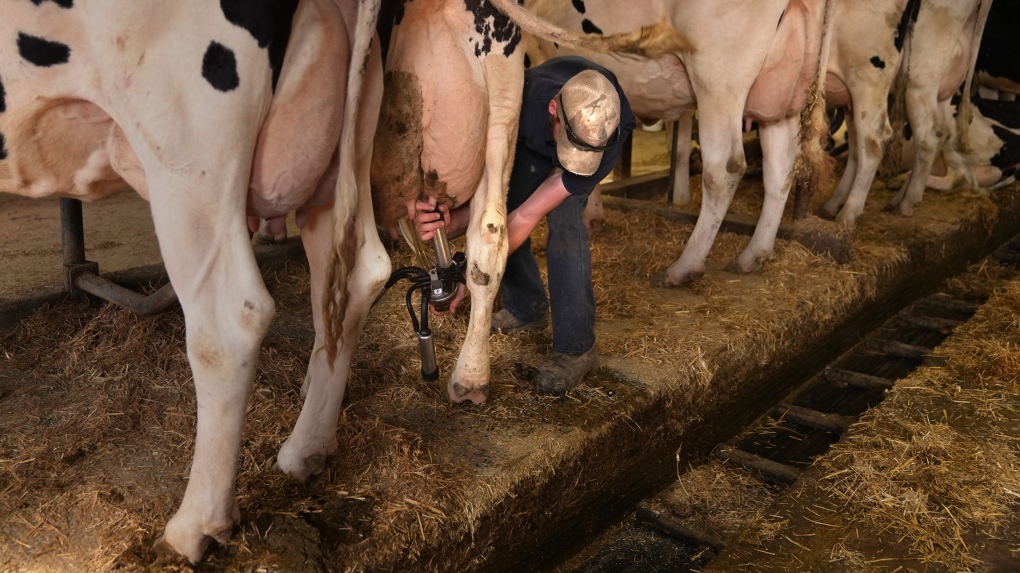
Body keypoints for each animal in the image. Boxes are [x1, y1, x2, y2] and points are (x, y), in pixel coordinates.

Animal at [0, 0, 385, 562]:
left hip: (186, 144)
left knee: (229, 321)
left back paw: (195, 527)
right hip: (345, 144)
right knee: (358, 278)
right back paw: (307, 451)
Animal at [522, 0, 832, 283]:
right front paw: (592, 216)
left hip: (717, 79)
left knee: (723, 172)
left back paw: (683, 268)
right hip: (780, 94)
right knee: (781, 170)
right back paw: (753, 255)